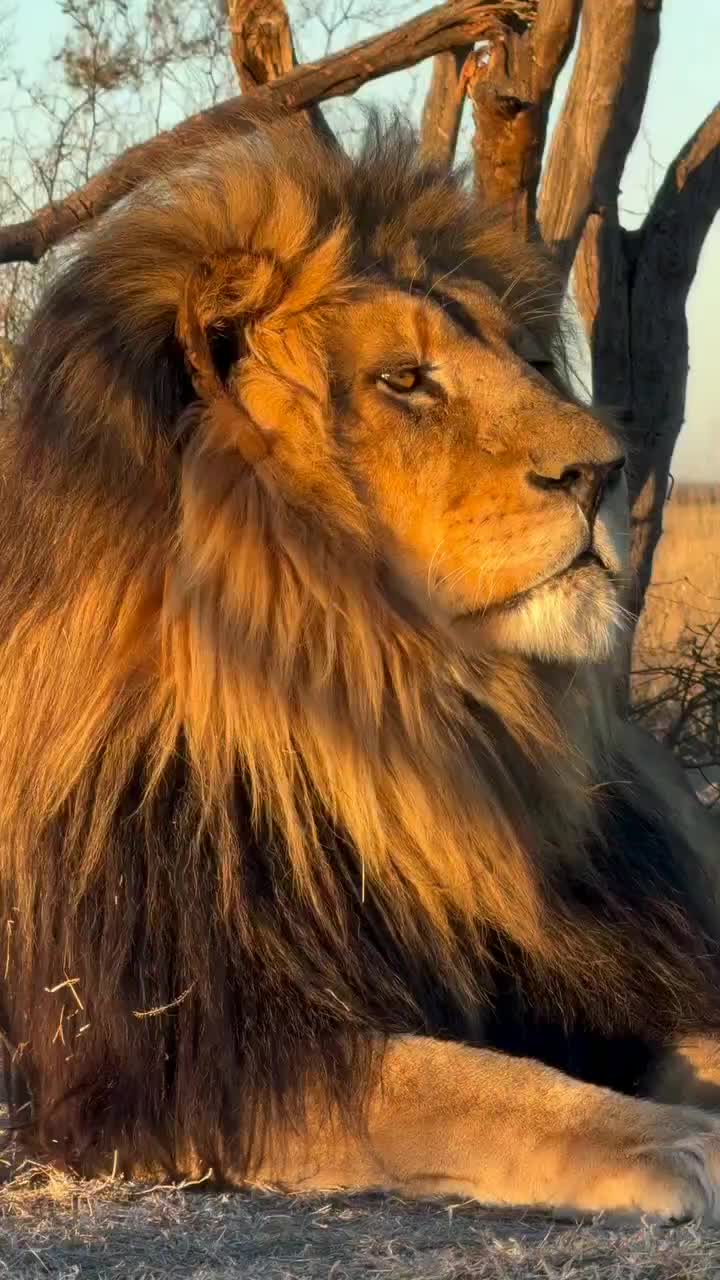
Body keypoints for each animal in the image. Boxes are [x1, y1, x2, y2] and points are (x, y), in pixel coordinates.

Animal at [1, 116, 720, 1220]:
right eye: (405, 380)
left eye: (527, 360)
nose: (606, 472)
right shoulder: (197, 1054)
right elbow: (471, 1086)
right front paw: (669, 1138)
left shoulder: (600, 966)